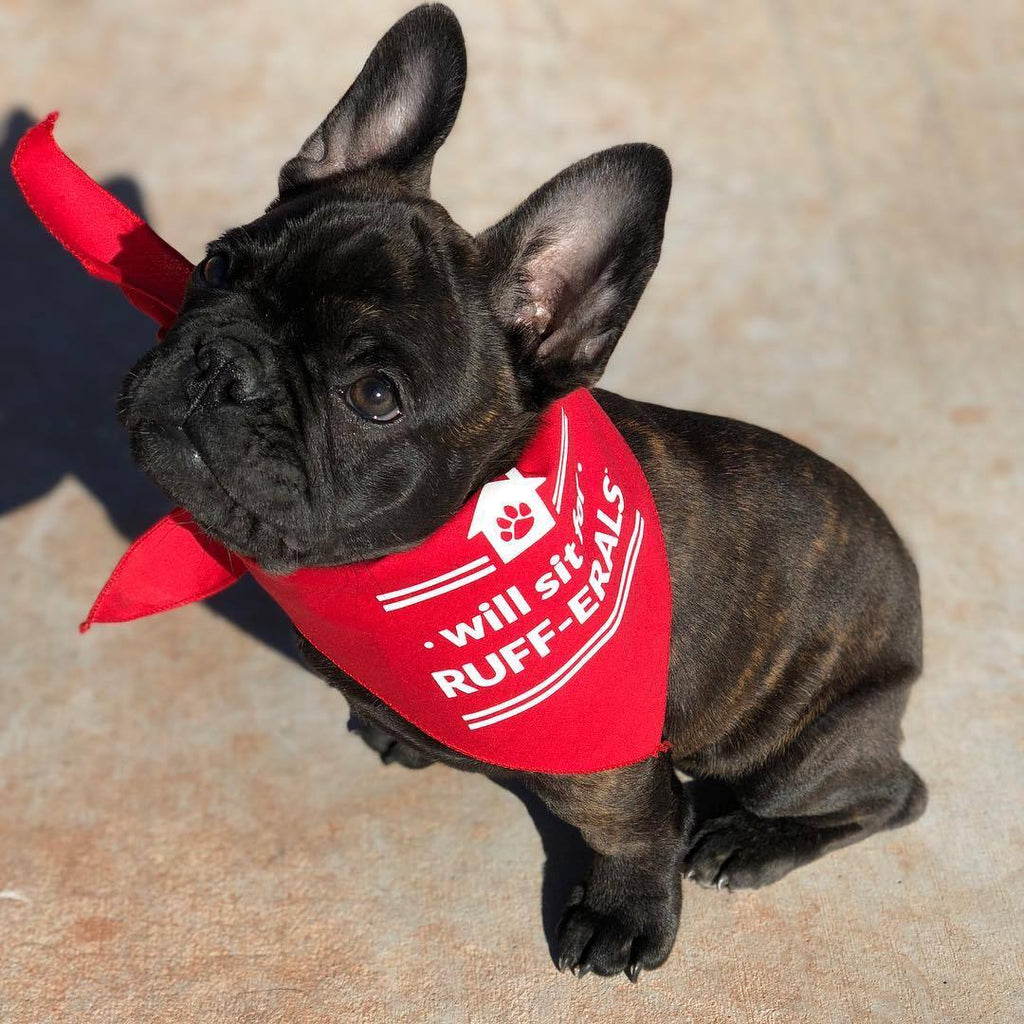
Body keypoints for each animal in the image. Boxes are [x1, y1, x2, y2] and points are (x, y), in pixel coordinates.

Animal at [119, 6, 929, 983]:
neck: (389, 570)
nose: (225, 366)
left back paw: (748, 841)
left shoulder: (616, 767)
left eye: (375, 396)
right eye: (216, 267)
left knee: (890, 795)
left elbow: (636, 836)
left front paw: (625, 916)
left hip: (793, 747)